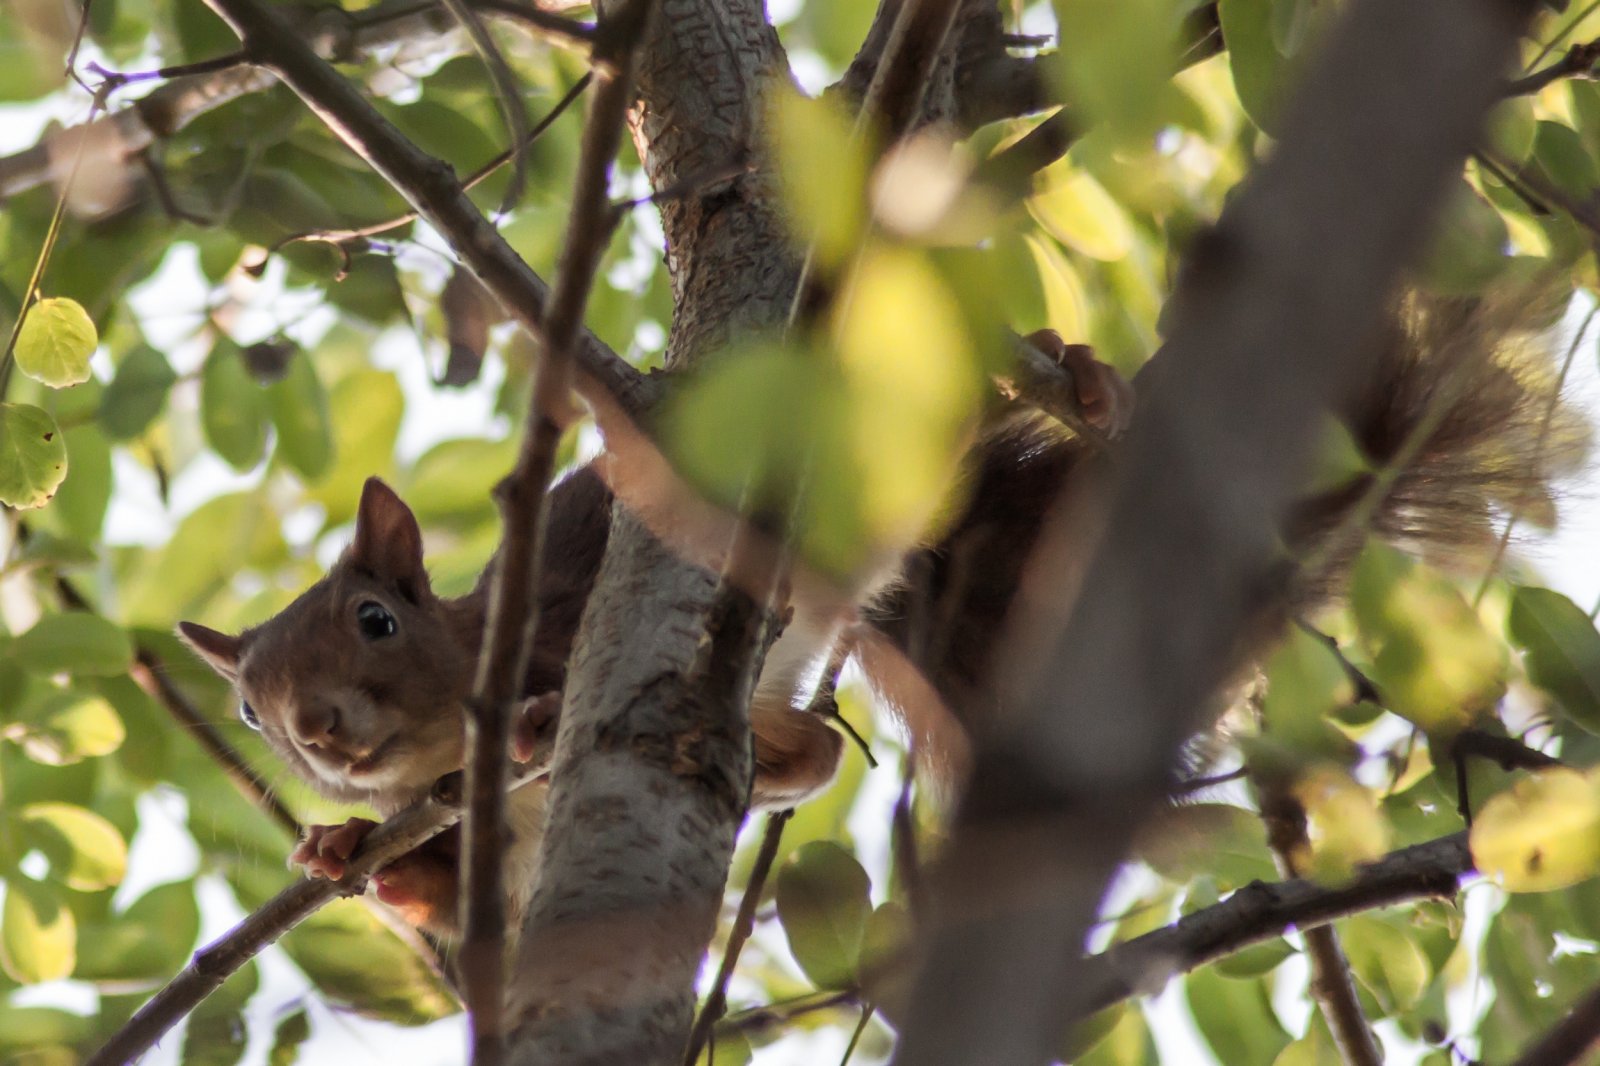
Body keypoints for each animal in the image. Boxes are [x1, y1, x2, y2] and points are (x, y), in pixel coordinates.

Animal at [178, 296, 1587, 928]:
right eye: (247, 707)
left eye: (375, 618)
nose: (318, 731)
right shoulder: (491, 852)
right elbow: (445, 902)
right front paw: (334, 850)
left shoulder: (565, 597)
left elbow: (562, 658)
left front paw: (526, 718)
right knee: (794, 750)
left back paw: (1092, 384)